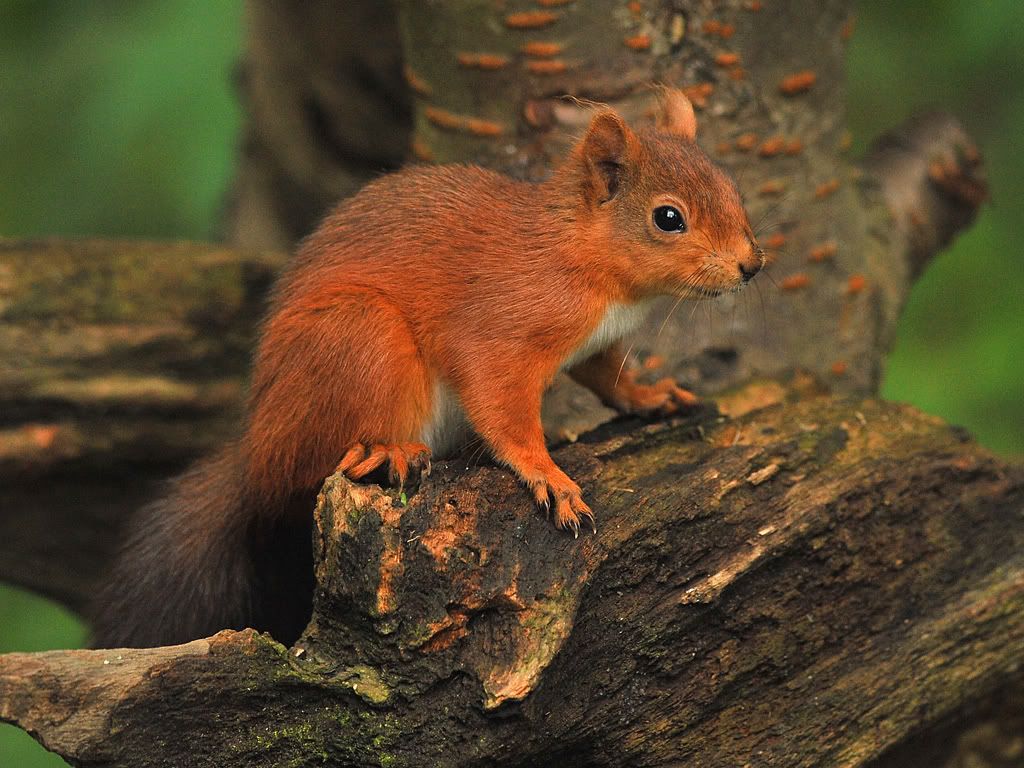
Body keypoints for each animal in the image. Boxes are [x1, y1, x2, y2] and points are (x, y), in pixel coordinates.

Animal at [90, 93, 761, 651]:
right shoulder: (498, 333)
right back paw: (385, 450)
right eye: (668, 218)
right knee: (316, 463)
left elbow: (609, 378)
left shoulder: (593, 344)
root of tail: (255, 453)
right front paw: (549, 475)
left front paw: (651, 397)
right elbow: (502, 410)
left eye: (732, 188)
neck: (586, 259)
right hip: (360, 338)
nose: (752, 266)